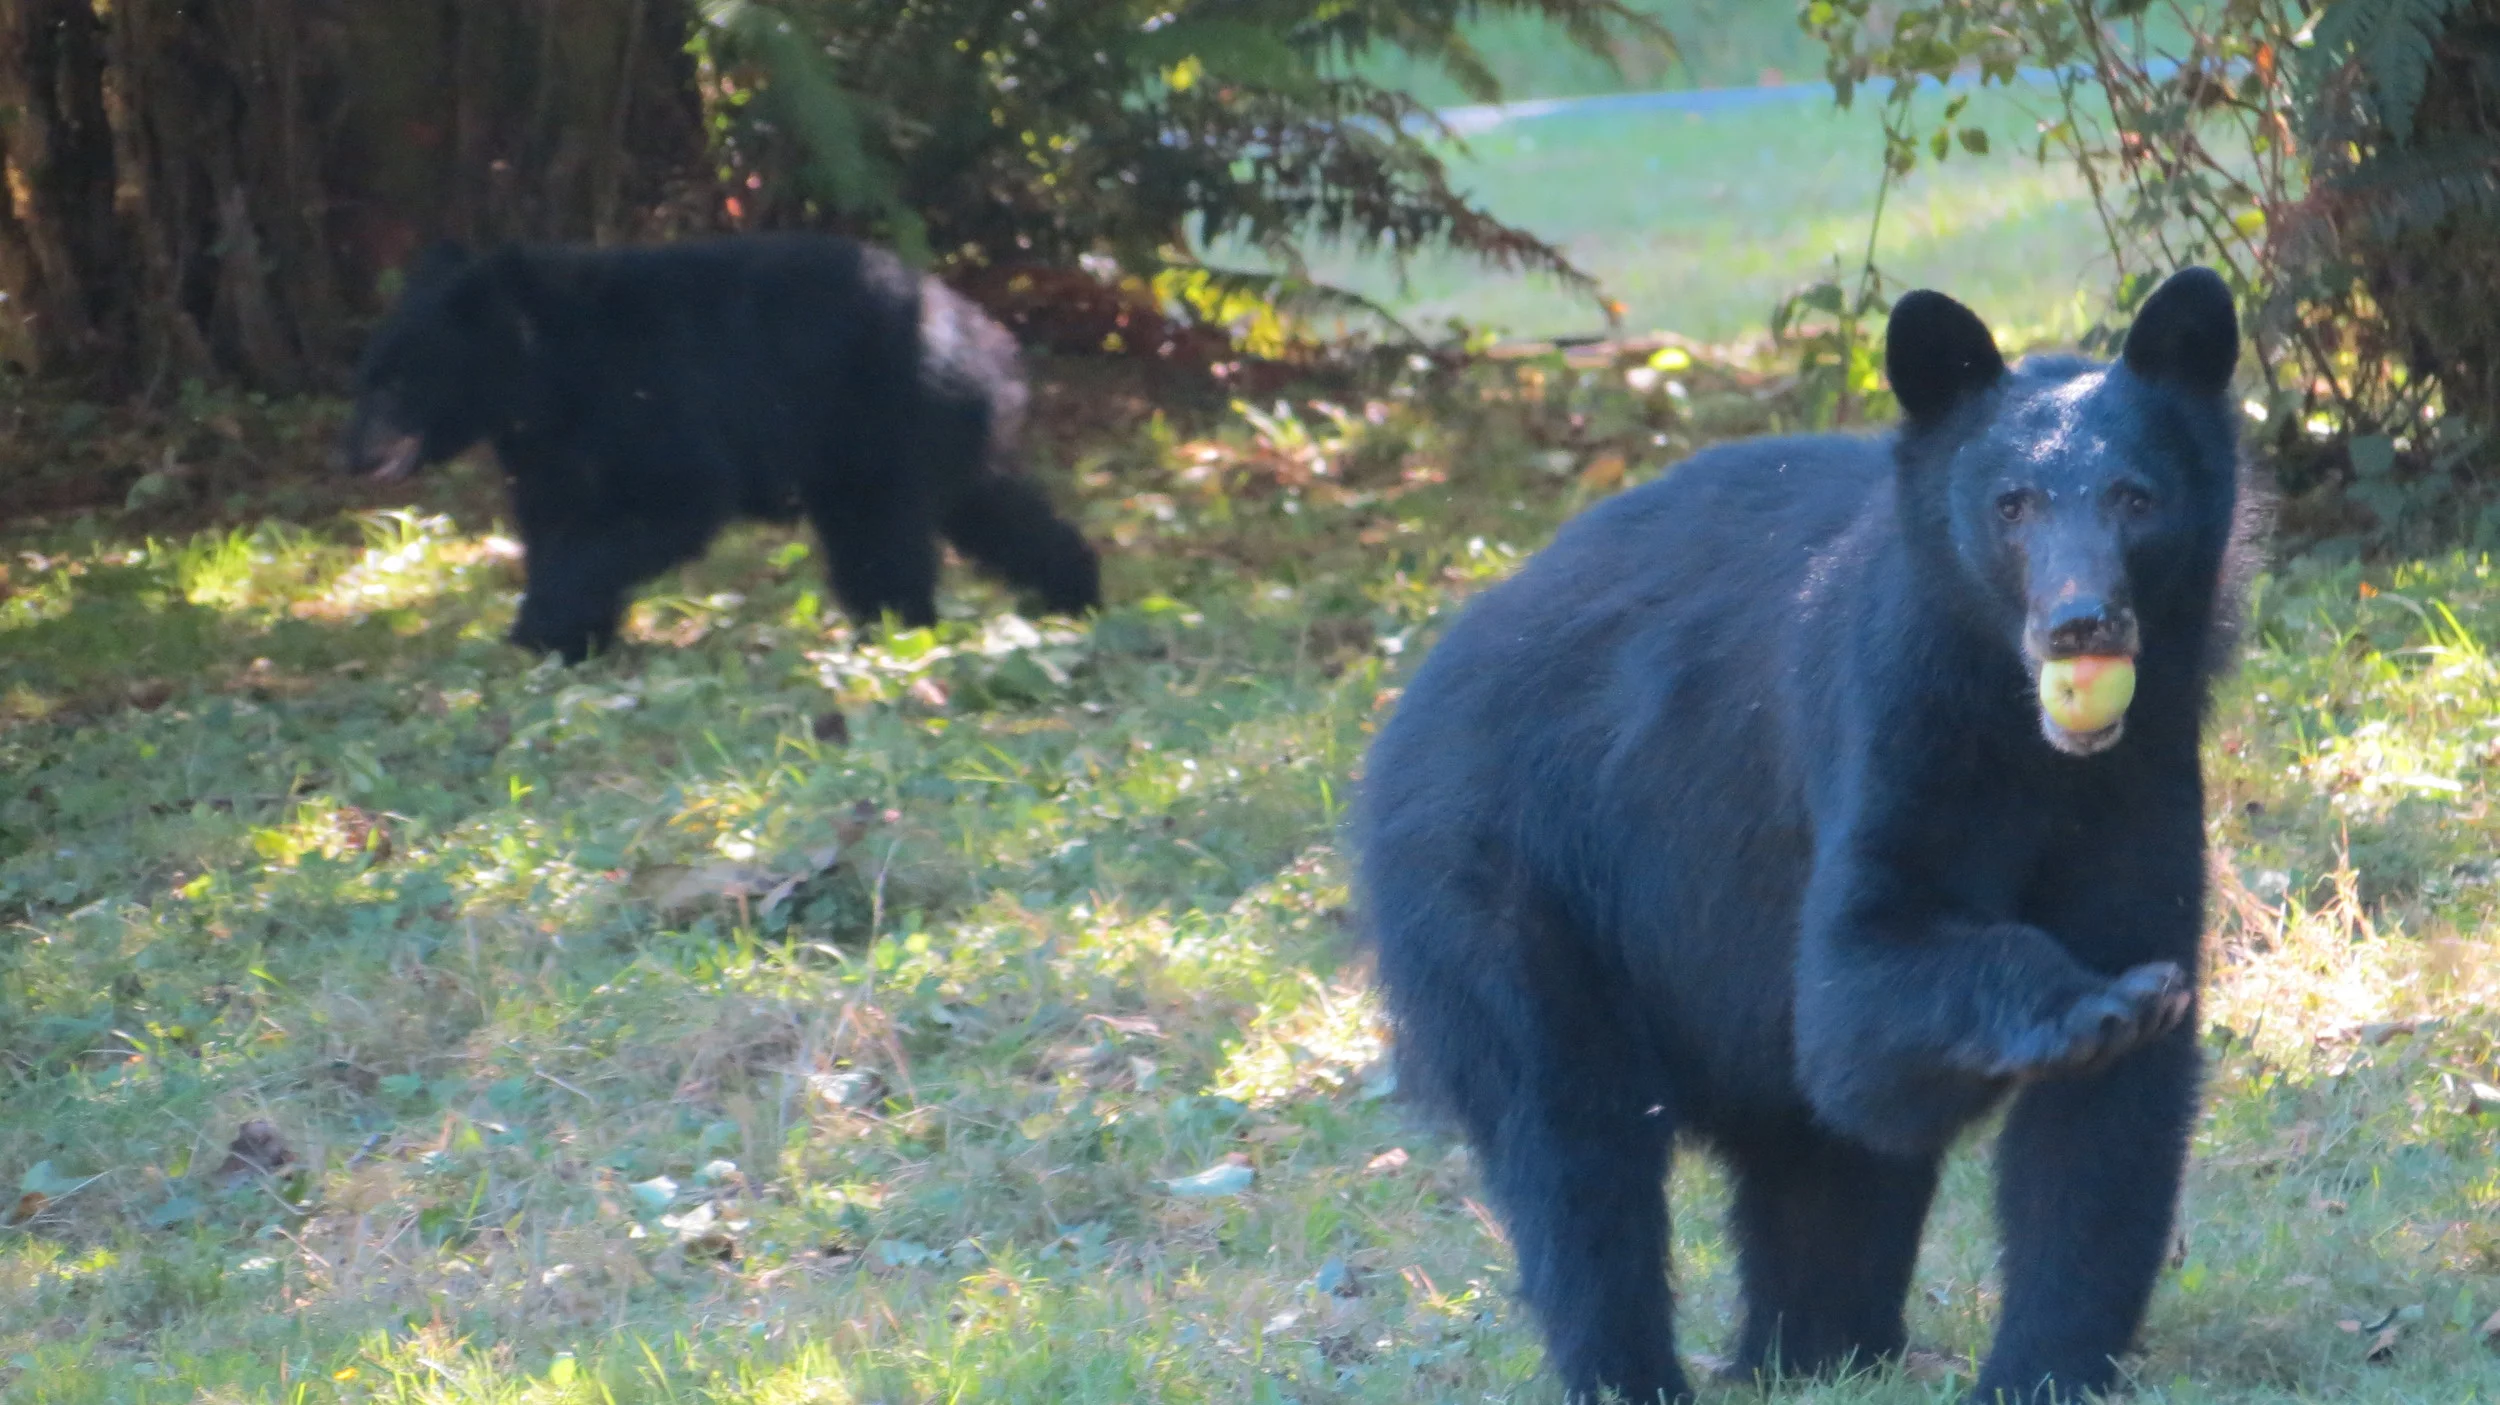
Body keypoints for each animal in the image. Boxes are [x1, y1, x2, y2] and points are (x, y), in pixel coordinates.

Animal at [340, 233, 1101, 663]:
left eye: (399, 379)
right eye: (367, 374)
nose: (349, 455)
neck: (550, 374)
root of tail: (987, 338)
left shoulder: (656, 395)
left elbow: (670, 502)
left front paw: (543, 624)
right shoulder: (548, 445)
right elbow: (556, 518)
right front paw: (572, 638)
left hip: (882, 420)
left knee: (879, 535)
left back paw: (895, 625)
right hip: (937, 436)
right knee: (996, 512)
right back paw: (1073, 592)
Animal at [1354, 267, 2257, 1404]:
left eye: (2137, 498)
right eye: (2011, 505)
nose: (2080, 622)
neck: (2025, 736)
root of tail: (1412, 688)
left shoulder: (2145, 776)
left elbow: (2104, 1122)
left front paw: (2042, 1364)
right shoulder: (1888, 724)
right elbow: (1856, 984)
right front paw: (2086, 1005)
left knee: (1814, 1167)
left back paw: (1813, 1349)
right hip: (1502, 873)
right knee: (1572, 1140)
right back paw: (1637, 1368)